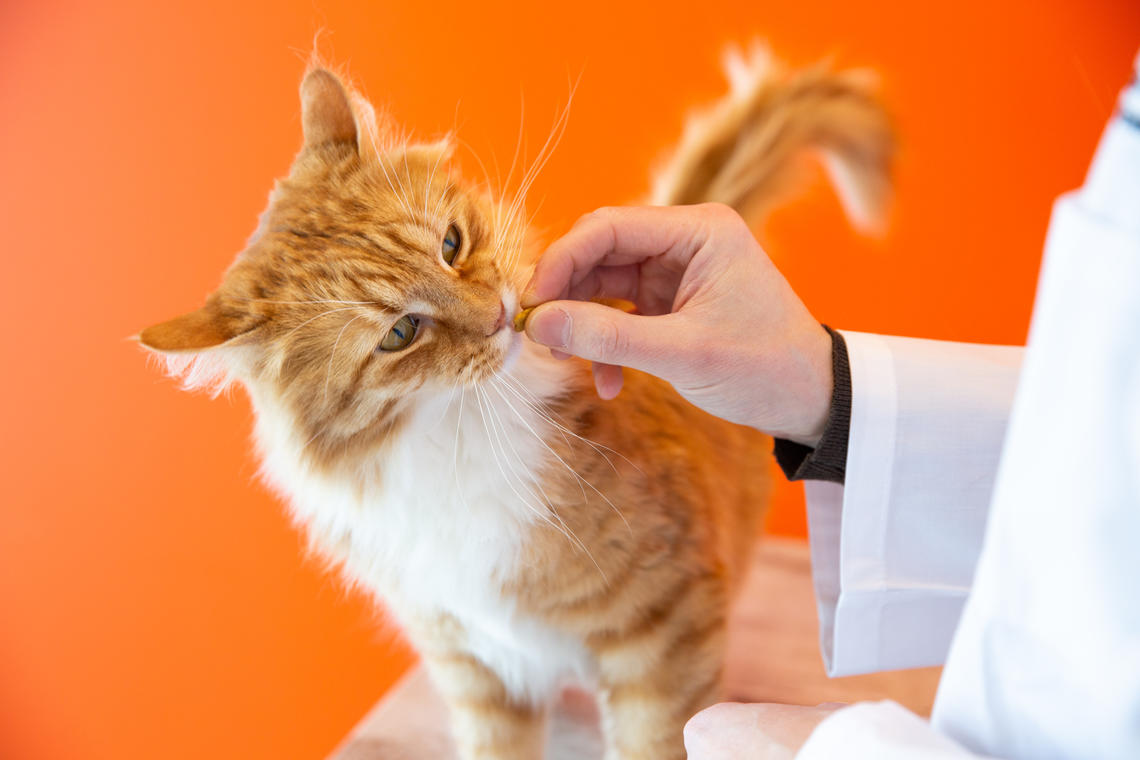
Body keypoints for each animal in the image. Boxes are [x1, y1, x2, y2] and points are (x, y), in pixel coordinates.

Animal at [140, 47, 889, 760]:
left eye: (451, 243)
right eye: (400, 333)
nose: (501, 316)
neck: (453, 433)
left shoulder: (665, 631)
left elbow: (656, 739)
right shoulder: (475, 668)